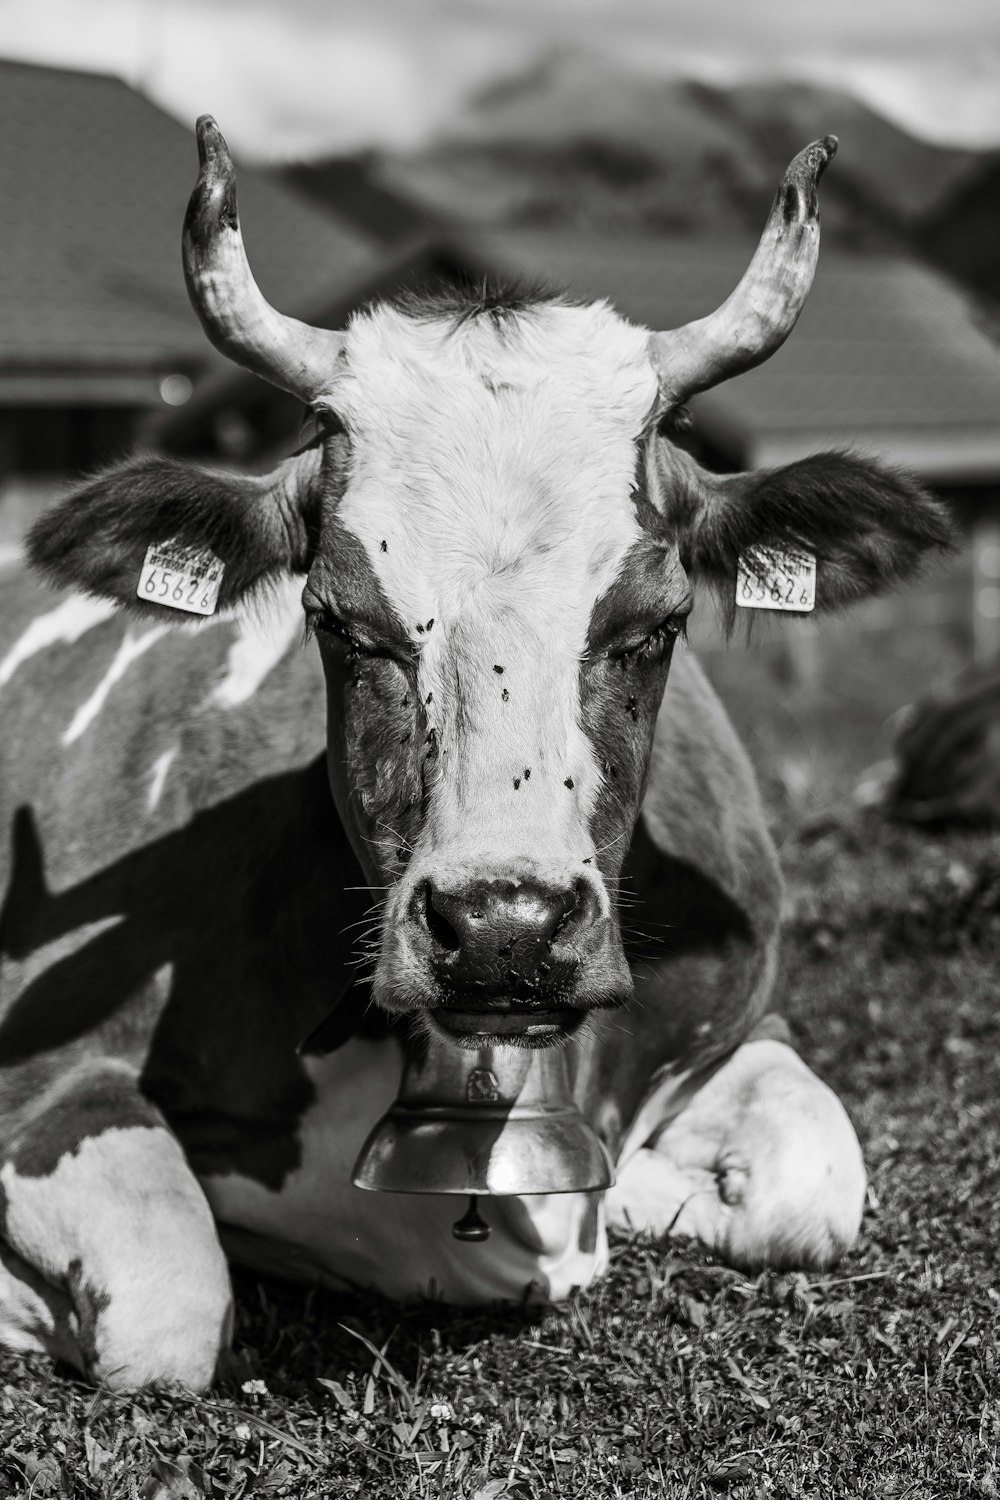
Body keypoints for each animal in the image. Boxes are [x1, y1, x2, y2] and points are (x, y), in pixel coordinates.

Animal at [0, 120, 953, 1392]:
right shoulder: (42, 1067)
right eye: (337, 622)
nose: (505, 928)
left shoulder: (744, 1019)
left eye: (656, 624)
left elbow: (812, 1185)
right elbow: (177, 1298)